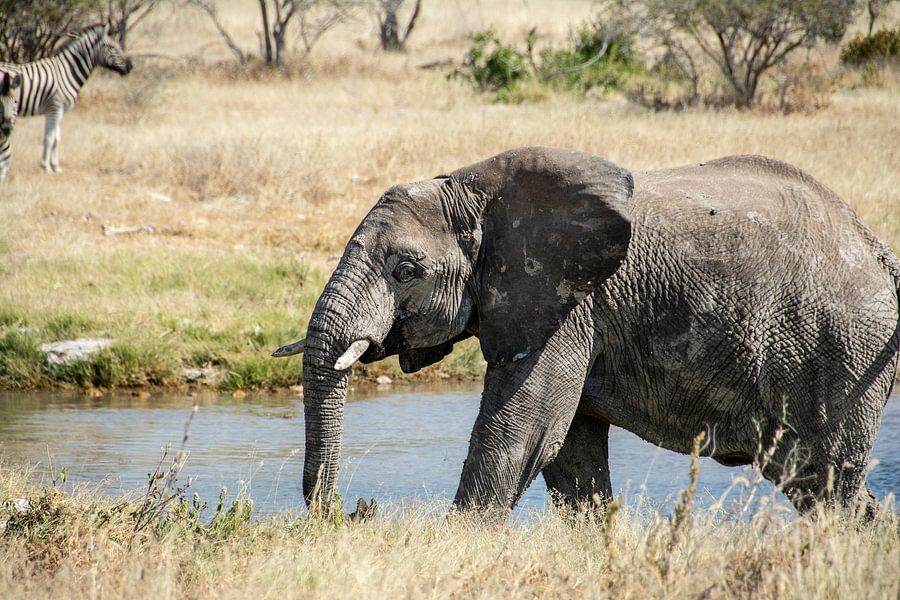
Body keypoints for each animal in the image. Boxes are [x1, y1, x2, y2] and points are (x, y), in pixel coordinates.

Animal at [0, 25, 132, 176]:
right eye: (112, 47)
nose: (130, 66)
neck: (67, 71)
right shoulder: (55, 107)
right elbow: (50, 138)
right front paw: (46, 167)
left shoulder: (57, 109)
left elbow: (57, 138)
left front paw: (55, 166)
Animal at [272, 146, 900, 516]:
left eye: (406, 270)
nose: (357, 509)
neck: (473, 187)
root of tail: (876, 248)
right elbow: (568, 453)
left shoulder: (564, 305)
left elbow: (523, 430)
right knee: (824, 486)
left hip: (838, 351)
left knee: (826, 480)